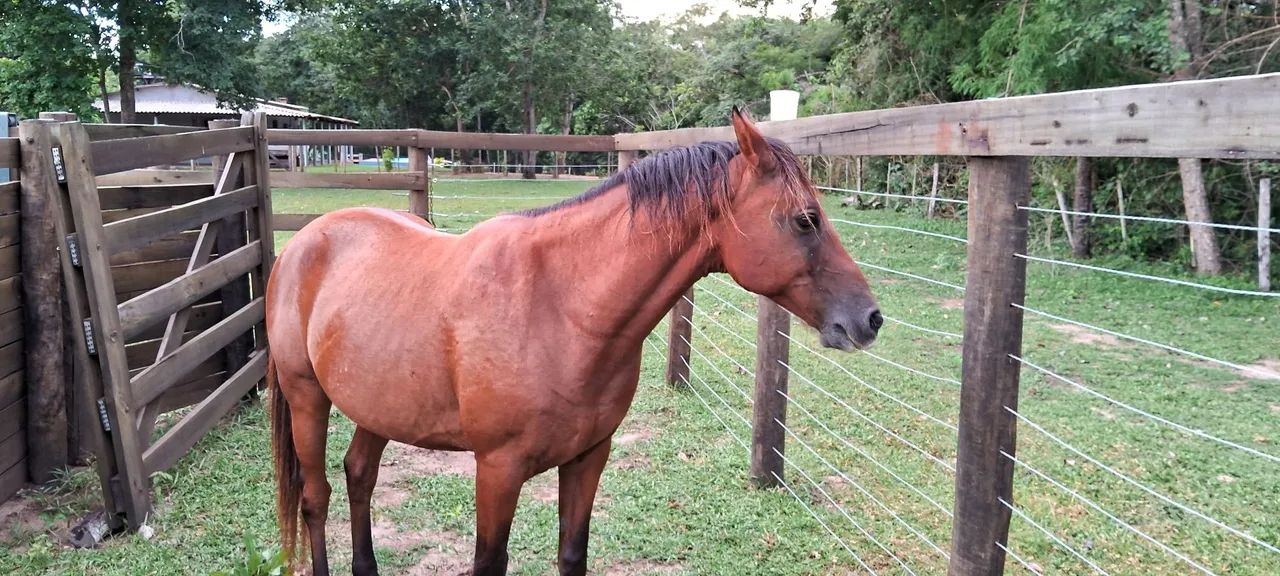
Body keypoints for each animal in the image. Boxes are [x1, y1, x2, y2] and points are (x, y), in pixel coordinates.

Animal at [265, 109, 881, 576]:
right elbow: (489, 563)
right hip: (307, 399)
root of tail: (304, 242)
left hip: (378, 404)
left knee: (359, 476)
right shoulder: (498, 470)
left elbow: (572, 555)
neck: (561, 307)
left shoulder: (589, 458)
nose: (869, 318)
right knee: (316, 498)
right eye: (805, 220)